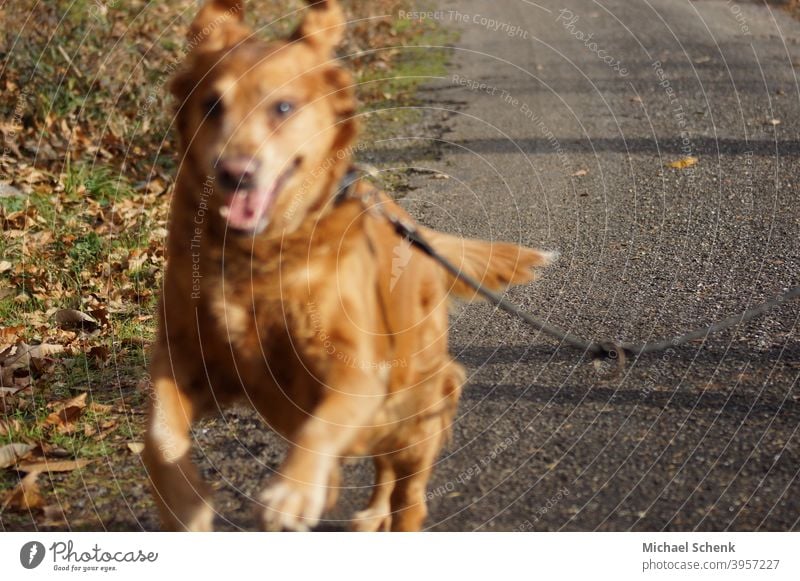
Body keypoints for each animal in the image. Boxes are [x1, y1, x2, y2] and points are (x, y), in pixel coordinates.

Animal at [144, 0, 552, 532]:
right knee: (383, 471)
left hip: (414, 404)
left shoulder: (355, 368)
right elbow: (158, 436)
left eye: (283, 107)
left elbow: (323, 425)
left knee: (409, 494)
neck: (256, 256)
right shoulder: (183, 359)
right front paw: (184, 502)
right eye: (212, 105)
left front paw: (293, 491)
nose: (235, 174)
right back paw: (368, 511)